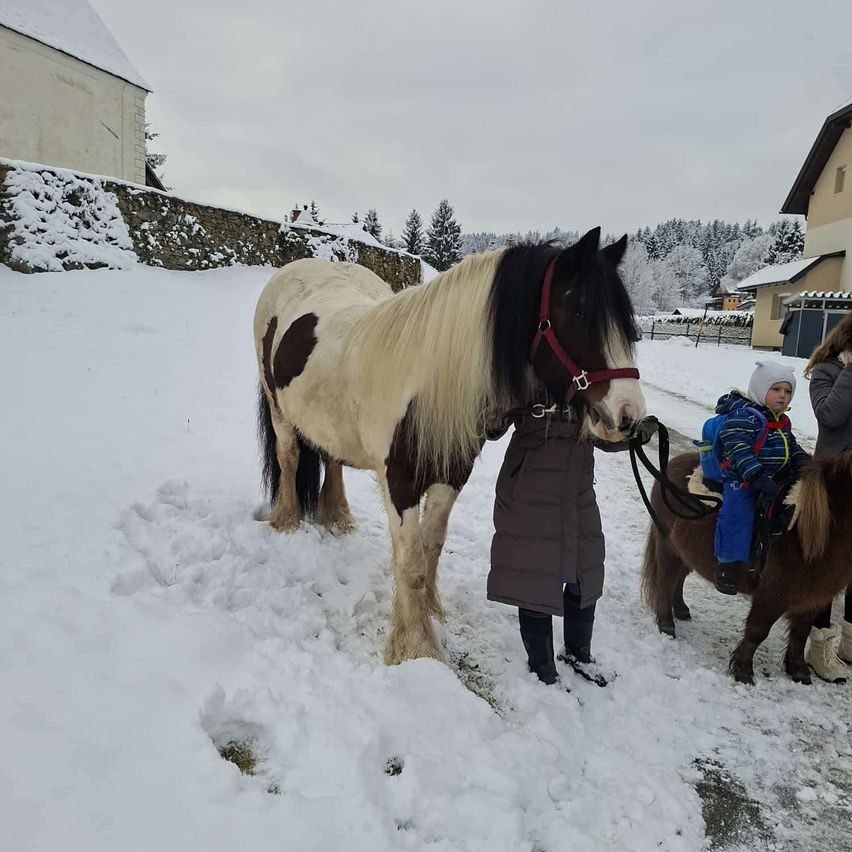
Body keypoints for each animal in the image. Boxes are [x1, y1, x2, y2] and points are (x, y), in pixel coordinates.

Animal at [253, 227, 646, 665]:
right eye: (578, 313)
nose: (631, 416)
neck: (428, 381)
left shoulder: (451, 476)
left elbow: (432, 548)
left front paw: (429, 612)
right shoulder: (400, 484)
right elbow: (412, 563)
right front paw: (415, 648)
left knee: (330, 457)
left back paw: (337, 518)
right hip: (278, 409)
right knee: (289, 458)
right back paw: (287, 520)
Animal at [641, 450, 852, 684]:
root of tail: (671, 463)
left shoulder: (812, 599)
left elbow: (801, 633)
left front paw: (798, 671)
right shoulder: (771, 595)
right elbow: (758, 632)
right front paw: (743, 670)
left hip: (684, 553)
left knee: (679, 579)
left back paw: (681, 610)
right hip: (667, 546)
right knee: (665, 582)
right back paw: (666, 624)